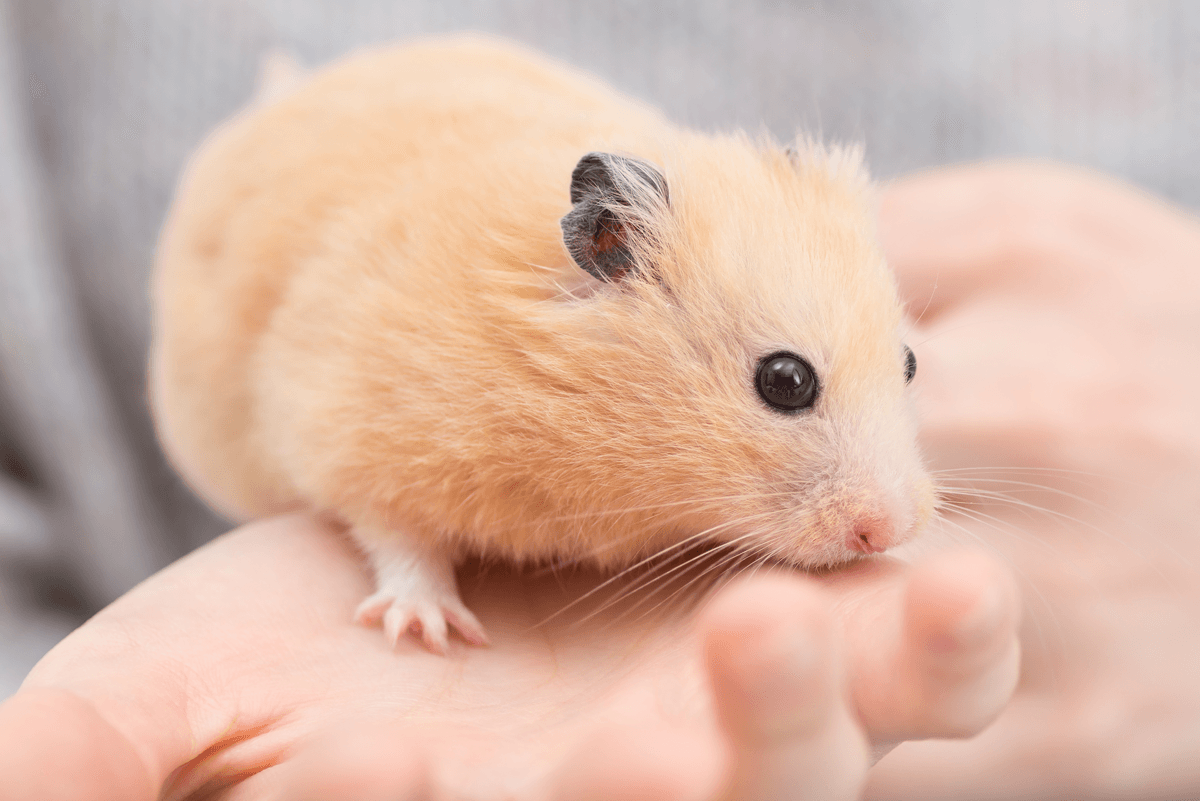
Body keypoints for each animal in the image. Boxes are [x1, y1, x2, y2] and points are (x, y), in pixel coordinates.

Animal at [149, 35, 934, 653]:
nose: (888, 531)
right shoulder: (352, 430)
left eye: (909, 363)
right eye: (785, 381)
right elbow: (395, 535)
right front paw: (428, 629)